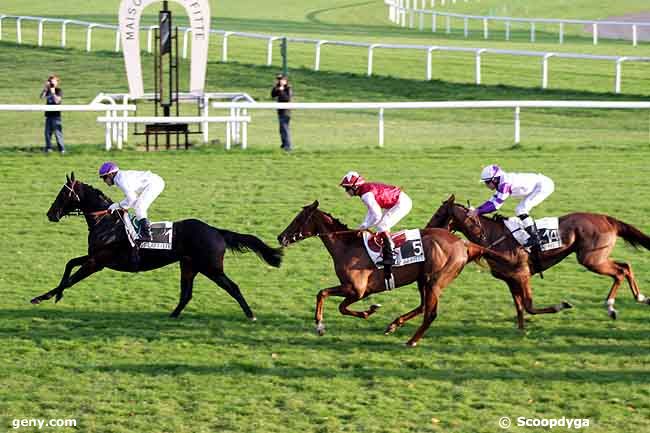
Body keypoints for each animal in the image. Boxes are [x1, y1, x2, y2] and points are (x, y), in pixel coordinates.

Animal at [31, 172, 280, 318]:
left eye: (63, 194)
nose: (50, 214)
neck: (106, 223)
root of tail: (216, 231)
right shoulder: (94, 257)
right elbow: (69, 263)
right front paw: (48, 296)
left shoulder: (97, 262)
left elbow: (71, 278)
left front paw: (50, 296)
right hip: (189, 266)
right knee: (186, 294)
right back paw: (172, 315)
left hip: (211, 268)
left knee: (233, 287)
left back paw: (250, 314)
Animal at [276, 201, 508, 346]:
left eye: (298, 219)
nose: (280, 237)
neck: (347, 246)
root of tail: (463, 243)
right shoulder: (354, 290)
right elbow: (325, 295)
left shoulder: (357, 290)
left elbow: (330, 299)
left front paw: (322, 325)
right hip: (423, 280)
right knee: (423, 306)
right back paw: (394, 325)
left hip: (435, 280)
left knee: (430, 313)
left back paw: (411, 340)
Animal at [426, 194, 648, 326]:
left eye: (437, 214)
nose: (427, 229)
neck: (492, 236)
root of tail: (607, 218)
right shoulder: (510, 279)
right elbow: (520, 307)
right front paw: (520, 331)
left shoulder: (522, 275)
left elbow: (529, 306)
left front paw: (561, 306)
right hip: (597, 257)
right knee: (626, 266)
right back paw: (640, 297)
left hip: (591, 259)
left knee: (619, 272)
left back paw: (611, 306)